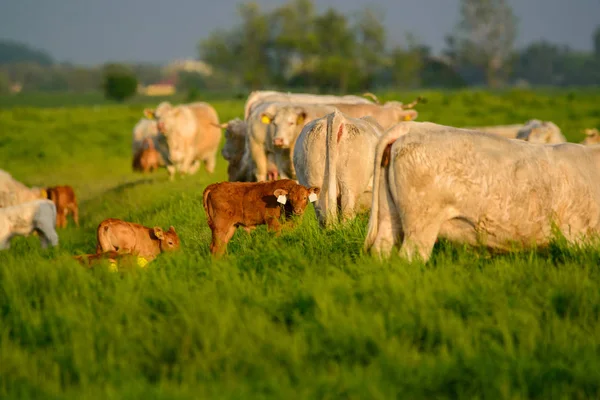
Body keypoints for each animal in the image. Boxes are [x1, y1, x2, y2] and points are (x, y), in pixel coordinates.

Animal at [364, 121, 600, 262]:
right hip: (421, 223)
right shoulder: (579, 237)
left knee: (381, 250)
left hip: (389, 215)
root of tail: (413, 126)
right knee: (410, 256)